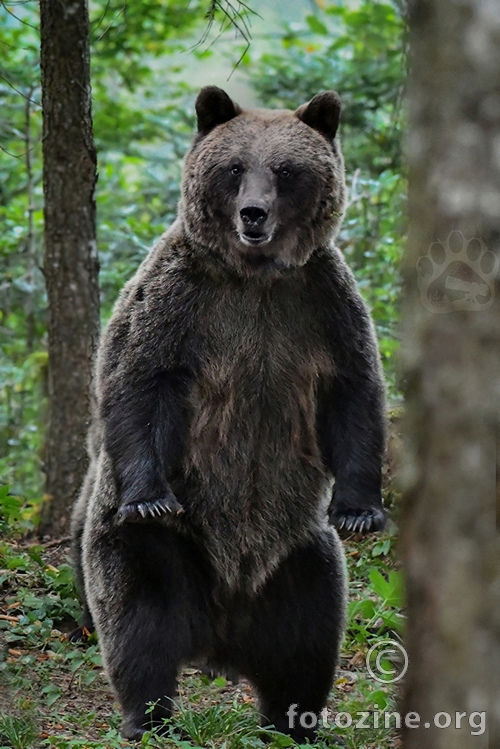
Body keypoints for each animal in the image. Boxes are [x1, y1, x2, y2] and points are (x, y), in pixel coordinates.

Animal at [73, 86, 386, 744]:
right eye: (235, 167)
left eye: (286, 170)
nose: (253, 215)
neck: (254, 279)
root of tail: (220, 639)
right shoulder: (180, 301)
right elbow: (138, 380)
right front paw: (149, 495)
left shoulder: (321, 304)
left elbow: (354, 394)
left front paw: (360, 510)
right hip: (162, 551)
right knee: (139, 624)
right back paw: (149, 717)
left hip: (296, 557)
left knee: (310, 637)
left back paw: (295, 721)